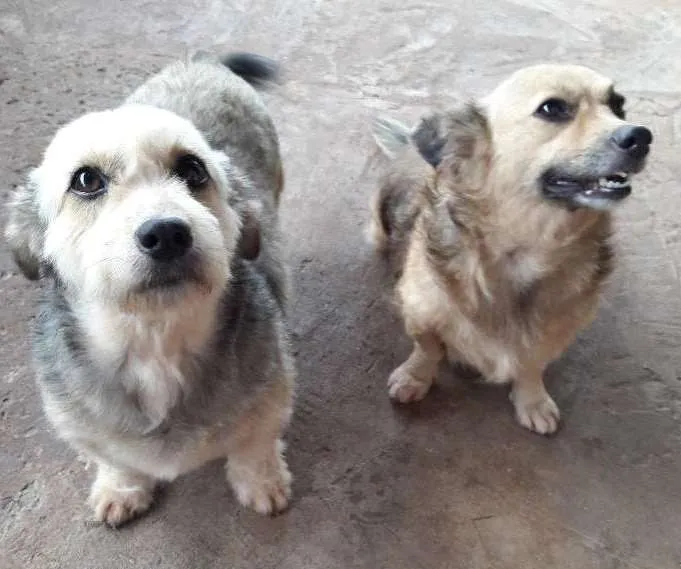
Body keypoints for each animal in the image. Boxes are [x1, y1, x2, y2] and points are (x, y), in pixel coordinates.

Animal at [3, 52, 294, 524]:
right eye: (85, 180)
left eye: (193, 169)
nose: (168, 233)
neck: (155, 342)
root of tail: (202, 59)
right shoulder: (82, 428)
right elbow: (115, 458)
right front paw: (122, 487)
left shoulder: (270, 399)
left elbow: (254, 447)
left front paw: (261, 482)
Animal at [370, 64, 652, 432]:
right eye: (552, 108)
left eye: (619, 105)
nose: (642, 137)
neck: (526, 247)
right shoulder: (421, 309)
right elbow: (427, 348)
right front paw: (415, 378)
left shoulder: (554, 327)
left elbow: (531, 363)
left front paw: (532, 400)